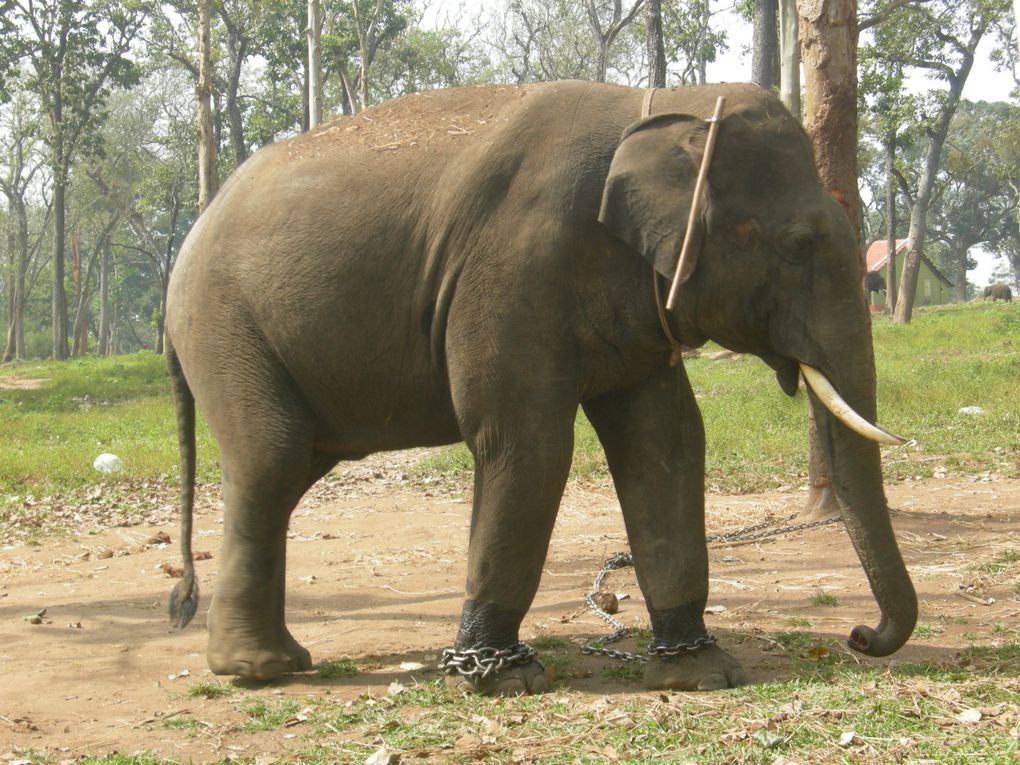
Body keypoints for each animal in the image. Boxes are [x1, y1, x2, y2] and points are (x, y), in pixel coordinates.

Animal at [165, 81, 918, 697]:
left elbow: (666, 442)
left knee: (290, 468)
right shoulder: (512, 263)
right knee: (273, 459)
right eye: (798, 244)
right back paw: (258, 670)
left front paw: (703, 673)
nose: (859, 636)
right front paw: (500, 679)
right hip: (225, 325)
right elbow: (526, 443)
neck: (660, 109)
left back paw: (274, 660)